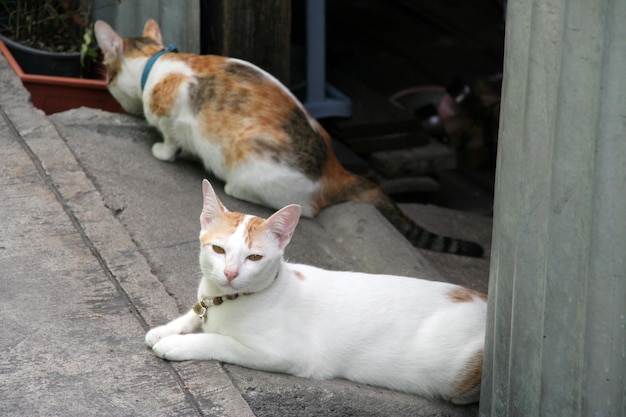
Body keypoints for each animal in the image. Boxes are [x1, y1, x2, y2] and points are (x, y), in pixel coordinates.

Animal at [94, 18, 482, 256]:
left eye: (106, 73)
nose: (107, 86)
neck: (156, 63)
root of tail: (335, 169)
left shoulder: (175, 103)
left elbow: (171, 136)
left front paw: (163, 149)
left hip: (248, 167)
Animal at [144, 179, 486, 404]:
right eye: (218, 249)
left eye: (254, 258)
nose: (230, 273)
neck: (226, 299)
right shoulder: (207, 300)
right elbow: (194, 312)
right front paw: (167, 329)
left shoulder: (287, 354)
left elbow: (219, 340)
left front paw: (177, 344)